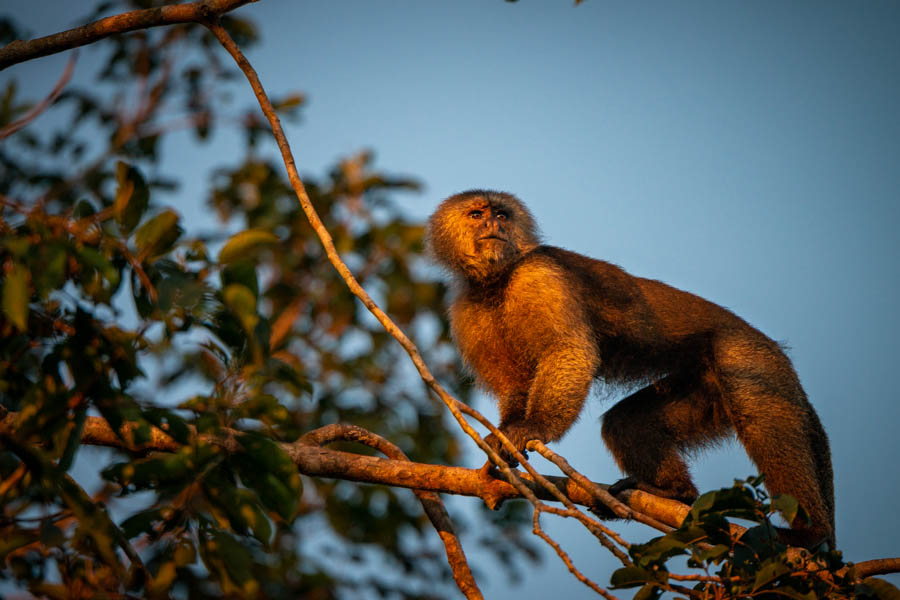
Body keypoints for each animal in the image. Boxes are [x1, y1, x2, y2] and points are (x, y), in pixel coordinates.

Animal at [426, 189, 832, 548]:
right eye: (477, 214)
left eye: (502, 214)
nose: (494, 224)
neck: (498, 281)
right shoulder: (465, 307)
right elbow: (514, 383)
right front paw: (507, 433)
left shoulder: (540, 276)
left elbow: (569, 350)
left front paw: (533, 427)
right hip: (708, 381)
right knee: (626, 423)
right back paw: (675, 493)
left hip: (748, 354)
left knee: (759, 416)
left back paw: (809, 533)